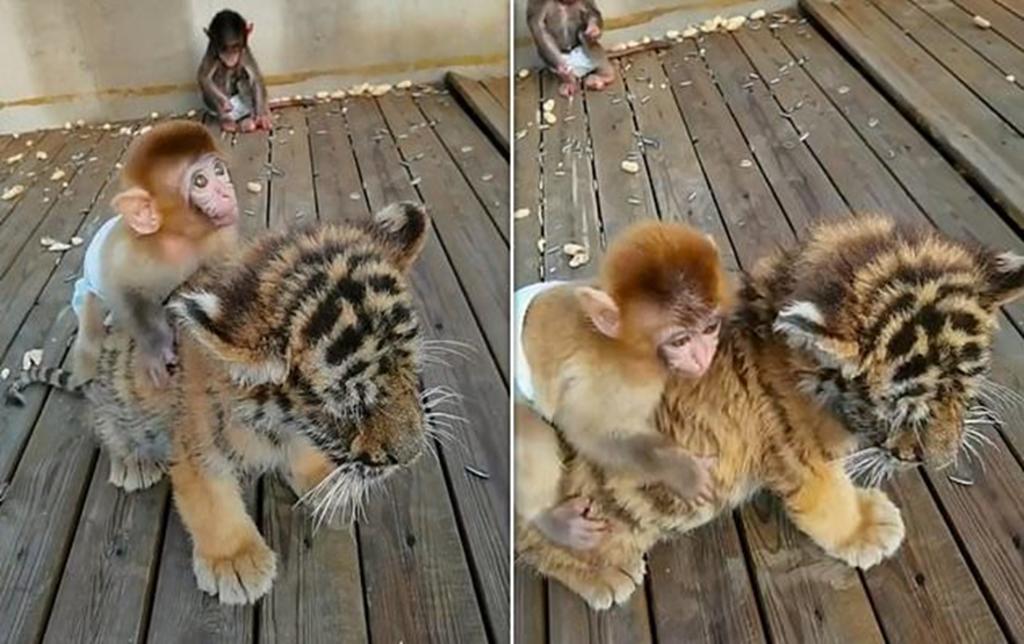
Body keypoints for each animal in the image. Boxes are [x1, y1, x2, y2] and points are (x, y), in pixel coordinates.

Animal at [7, 202, 443, 605]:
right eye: (346, 404)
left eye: (410, 368)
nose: (411, 456)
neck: (281, 423)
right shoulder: (196, 449)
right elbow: (211, 503)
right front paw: (236, 563)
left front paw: (327, 481)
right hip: (114, 392)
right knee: (105, 425)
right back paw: (134, 463)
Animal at [70, 120, 239, 388]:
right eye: (200, 181)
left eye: (218, 170)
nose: (226, 191)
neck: (177, 237)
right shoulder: (127, 254)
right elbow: (126, 292)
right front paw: (158, 347)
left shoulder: (222, 236)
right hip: (88, 289)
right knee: (88, 310)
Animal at [514, 221, 728, 550]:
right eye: (680, 341)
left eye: (709, 328)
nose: (703, 356)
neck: (625, 346)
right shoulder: (621, 379)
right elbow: (592, 434)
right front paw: (683, 470)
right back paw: (546, 517)